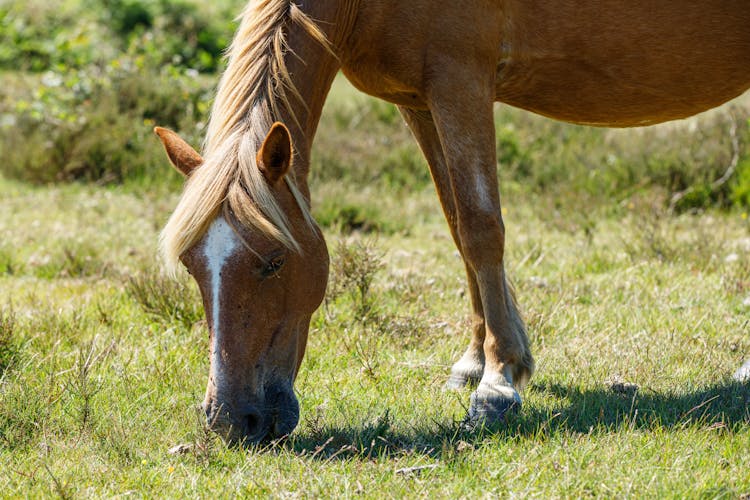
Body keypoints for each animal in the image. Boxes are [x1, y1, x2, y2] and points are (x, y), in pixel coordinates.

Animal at [154, 0, 750, 446]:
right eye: (190, 266)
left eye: (274, 261)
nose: (231, 422)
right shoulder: (419, 100)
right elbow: (457, 225)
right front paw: (477, 360)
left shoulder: (461, 81)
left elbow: (482, 227)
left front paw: (498, 383)